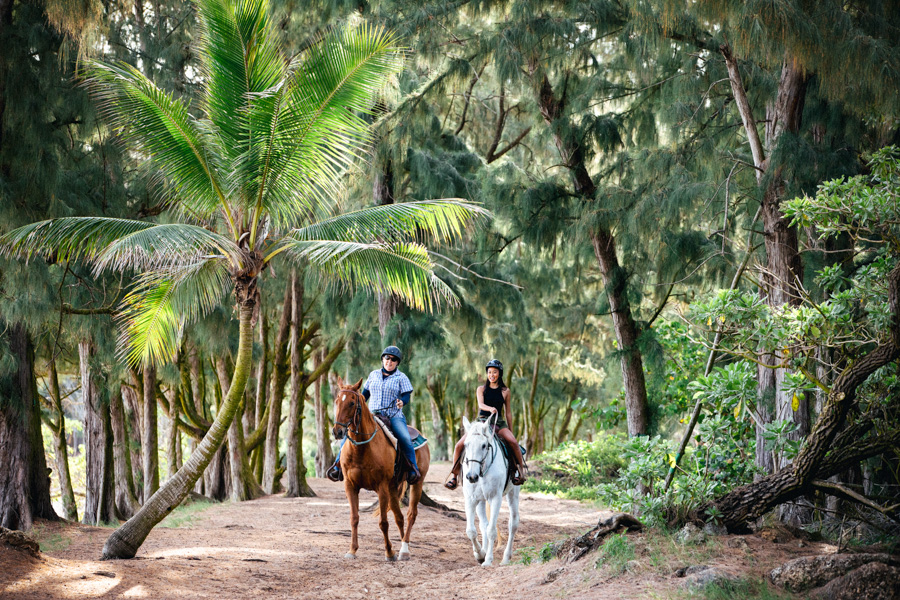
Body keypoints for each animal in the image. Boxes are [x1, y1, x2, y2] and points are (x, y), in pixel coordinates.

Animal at [332, 378, 430, 560]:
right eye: (336, 401)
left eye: (351, 403)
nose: (338, 431)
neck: (362, 449)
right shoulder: (350, 486)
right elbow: (354, 518)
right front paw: (352, 550)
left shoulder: (381, 487)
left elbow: (383, 522)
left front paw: (389, 552)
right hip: (393, 487)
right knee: (399, 517)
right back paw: (402, 543)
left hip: (417, 482)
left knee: (411, 514)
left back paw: (404, 549)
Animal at [460, 414, 524, 564]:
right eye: (466, 445)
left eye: (484, 445)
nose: (471, 476)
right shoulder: (471, 499)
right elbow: (471, 531)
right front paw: (479, 554)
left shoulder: (495, 498)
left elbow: (492, 531)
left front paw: (488, 560)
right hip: (481, 500)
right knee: (484, 524)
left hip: (513, 493)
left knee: (513, 523)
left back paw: (506, 558)